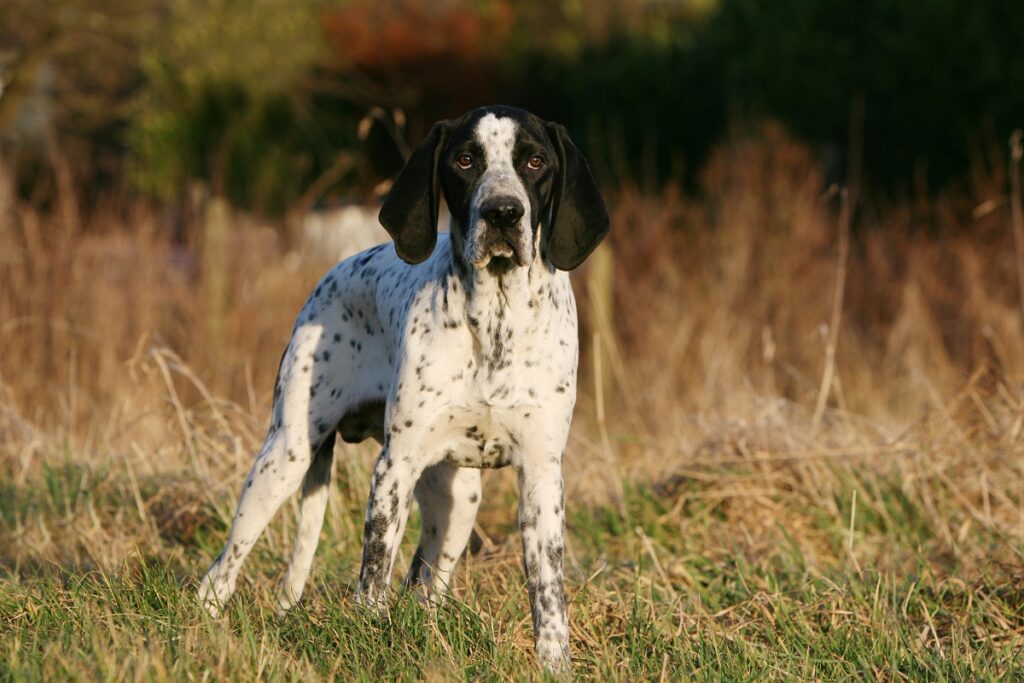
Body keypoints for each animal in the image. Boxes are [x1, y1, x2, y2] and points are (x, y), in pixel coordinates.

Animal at [199, 104, 606, 671]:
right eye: (465, 160)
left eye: (535, 161)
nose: (503, 213)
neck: (496, 321)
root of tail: (334, 270)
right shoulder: (393, 469)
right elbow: (373, 577)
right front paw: (369, 645)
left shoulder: (543, 476)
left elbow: (548, 595)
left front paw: (554, 665)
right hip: (282, 461)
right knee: (220, 573)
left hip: (460, 502)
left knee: (423, 588)